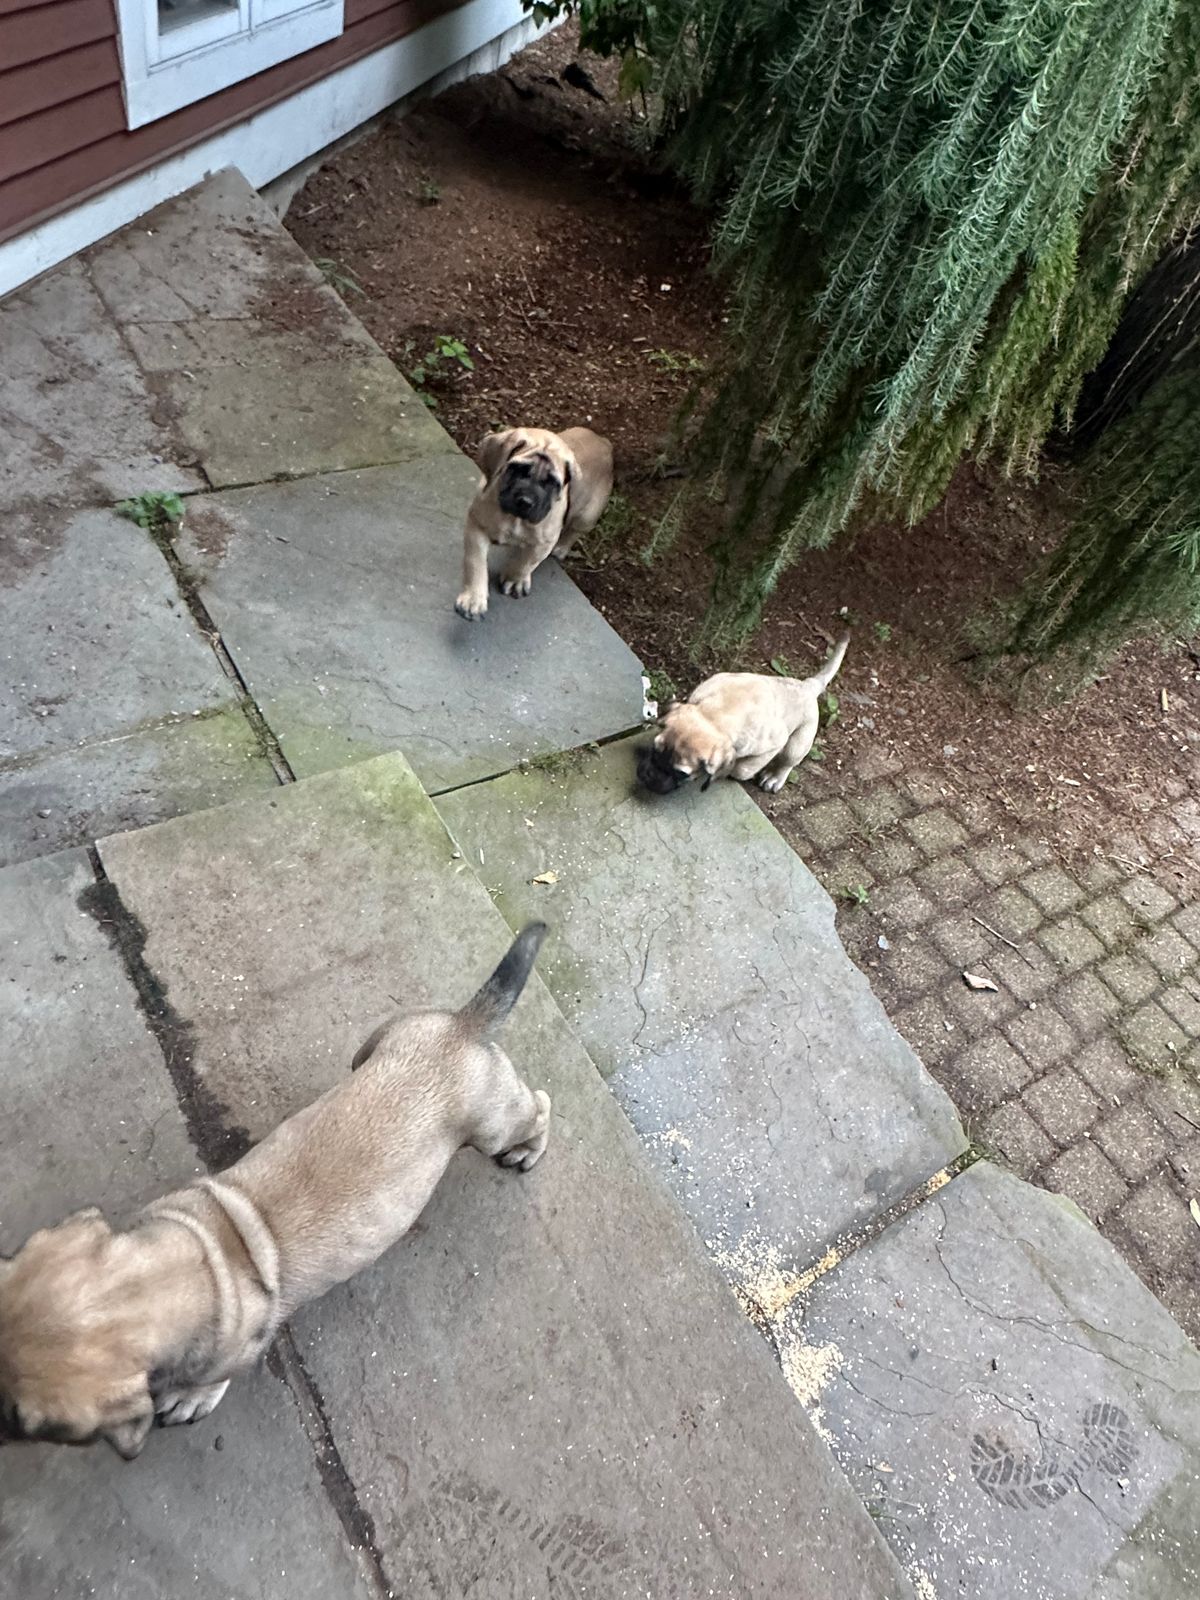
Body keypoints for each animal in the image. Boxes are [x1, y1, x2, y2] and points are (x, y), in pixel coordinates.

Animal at [0, 926, 552, 1460]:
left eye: (22, 1422)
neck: (193, 1264)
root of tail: (466, 1026)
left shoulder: (228, 1355)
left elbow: (210, 1380)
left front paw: (190, 1398)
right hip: (377, 1042)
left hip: (494, 1125)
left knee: (540, 1107)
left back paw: (528, 1150)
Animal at [454, 426, 613, 620]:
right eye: (517, 469)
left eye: (552, 482)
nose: (526, 501)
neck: (515, 519)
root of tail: (603, 442)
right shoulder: (477, 526)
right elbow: (475, 563)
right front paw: (473, 599)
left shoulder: (545, 542)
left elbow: (527, 562)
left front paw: (515, 579)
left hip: (588, 515)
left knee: (575, 531)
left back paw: (561, 548)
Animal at [637, 635, 849, 796]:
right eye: (655, 749)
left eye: (682, 774)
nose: (647, 776)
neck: (715, 715)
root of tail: (808, 685)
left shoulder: (773, 743)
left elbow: (741, 770)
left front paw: (730, 770)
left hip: (798, 743)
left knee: (788, 762)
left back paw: (774, 777)